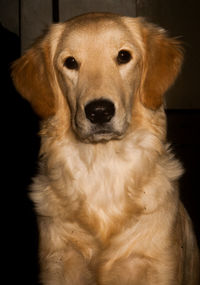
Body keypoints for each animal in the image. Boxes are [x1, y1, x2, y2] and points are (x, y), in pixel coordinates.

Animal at [12, 12, 198, 282]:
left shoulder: (159, 265)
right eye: (70, 62)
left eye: (123, 56)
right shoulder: (57, 262)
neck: (103, 169)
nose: (99, 111)